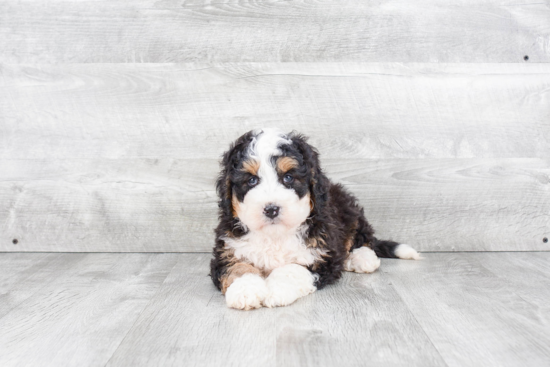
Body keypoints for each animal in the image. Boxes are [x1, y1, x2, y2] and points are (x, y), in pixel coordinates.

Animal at [211, 129, 422, 310]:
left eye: (288, 178)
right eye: (251, 180)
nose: (271, 209)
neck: (275, 235)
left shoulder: (322, 255)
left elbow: (292, 269)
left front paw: (275, 290)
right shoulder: (227, 250)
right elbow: (239, 268)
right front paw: (244, 290)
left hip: (349, 209)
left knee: (363, 238)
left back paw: (362, 258)